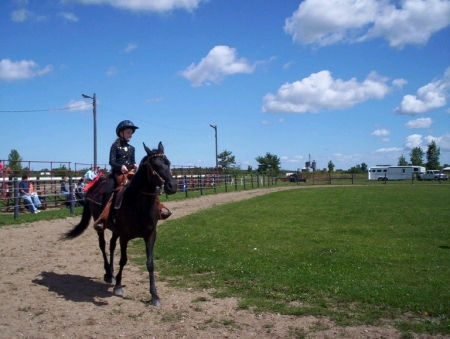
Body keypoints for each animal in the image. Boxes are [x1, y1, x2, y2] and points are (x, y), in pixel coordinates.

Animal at [60, 142, 177, 306]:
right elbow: (123, 260)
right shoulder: (125, 236)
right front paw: (118, 287)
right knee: (103, 245)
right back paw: (109, 274)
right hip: (101, 227)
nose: (172, 186)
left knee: (111, 245)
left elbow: (150, 263)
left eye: (168, 163)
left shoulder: (150, 235)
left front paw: (154, 296)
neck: (139, 204)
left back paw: (112, 273)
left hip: (115, 230)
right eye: (154, 165)